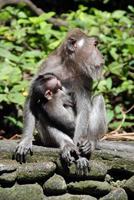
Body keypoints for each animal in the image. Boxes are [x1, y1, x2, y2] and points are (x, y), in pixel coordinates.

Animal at [14, 28, 107, 175]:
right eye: (95, 45)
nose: (101, 56)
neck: (69, 67)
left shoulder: (85, 77)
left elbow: (83, 110)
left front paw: (81, 156)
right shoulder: (48, 65)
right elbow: (32, 100)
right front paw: (25, 140)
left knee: (98, 99)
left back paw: (90, 143)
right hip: (47, 139)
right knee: (41, 109)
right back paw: (67, 145)